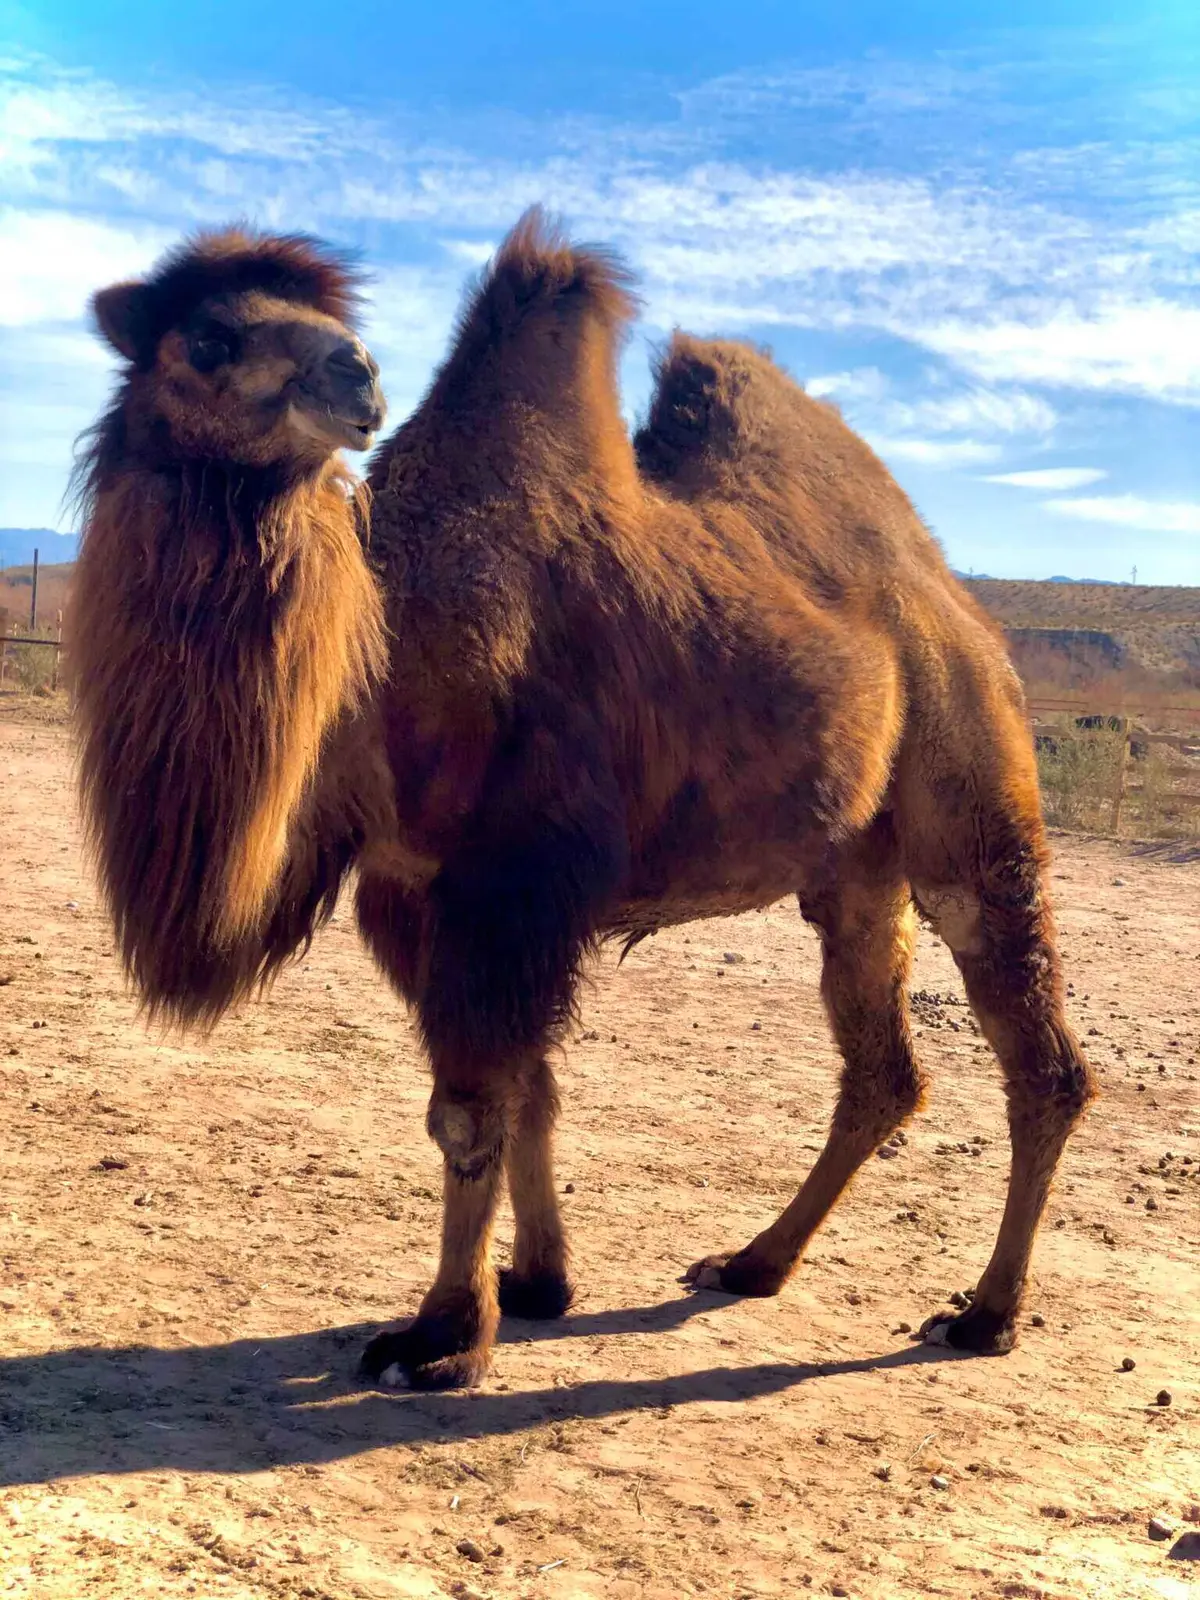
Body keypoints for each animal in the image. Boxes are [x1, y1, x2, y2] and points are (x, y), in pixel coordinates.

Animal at [71, 212, 1096, 1393]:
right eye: (209, 338)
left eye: (334, 326)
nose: (355, 371)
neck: (384, 648)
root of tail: (964, 614)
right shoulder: (408, 890)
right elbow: (529, 1089)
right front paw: (536, 1285)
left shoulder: (505, 879)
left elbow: (470, 1110)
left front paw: (440, 1336)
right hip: (854, 873)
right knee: (881, 1069)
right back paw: (754, 1262)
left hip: (973, 799)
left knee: (1039, 1056)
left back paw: (986, 1314)